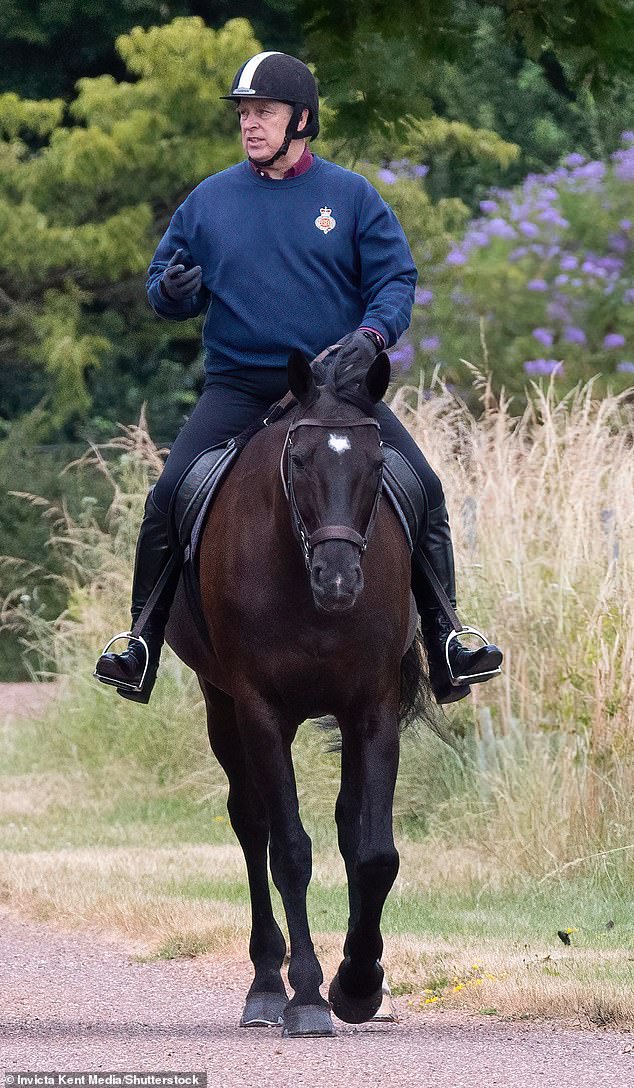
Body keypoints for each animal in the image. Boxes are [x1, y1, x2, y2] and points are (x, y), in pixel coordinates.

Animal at [166, 348, 428, 1035]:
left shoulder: (372, 707)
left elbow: (373, 851)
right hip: (223, 708)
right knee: (252, 825)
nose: (338, 580)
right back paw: (265, 985)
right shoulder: (259, 708)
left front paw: (358, 983)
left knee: (344, 826)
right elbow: (288, 851)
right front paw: (307, 995)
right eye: (299, 460)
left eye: (376, 464)